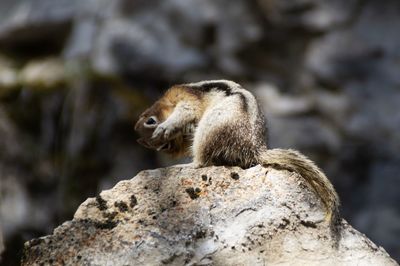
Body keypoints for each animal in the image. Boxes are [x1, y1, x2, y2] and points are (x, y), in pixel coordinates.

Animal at [136, 79, 340, 227]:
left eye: (150, 121)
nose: (163, 148)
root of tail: (254, 149)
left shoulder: (185, 100)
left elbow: (184, 112)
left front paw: (165, 128)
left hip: (209, 129)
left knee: (203, 161)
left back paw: (185, 165)